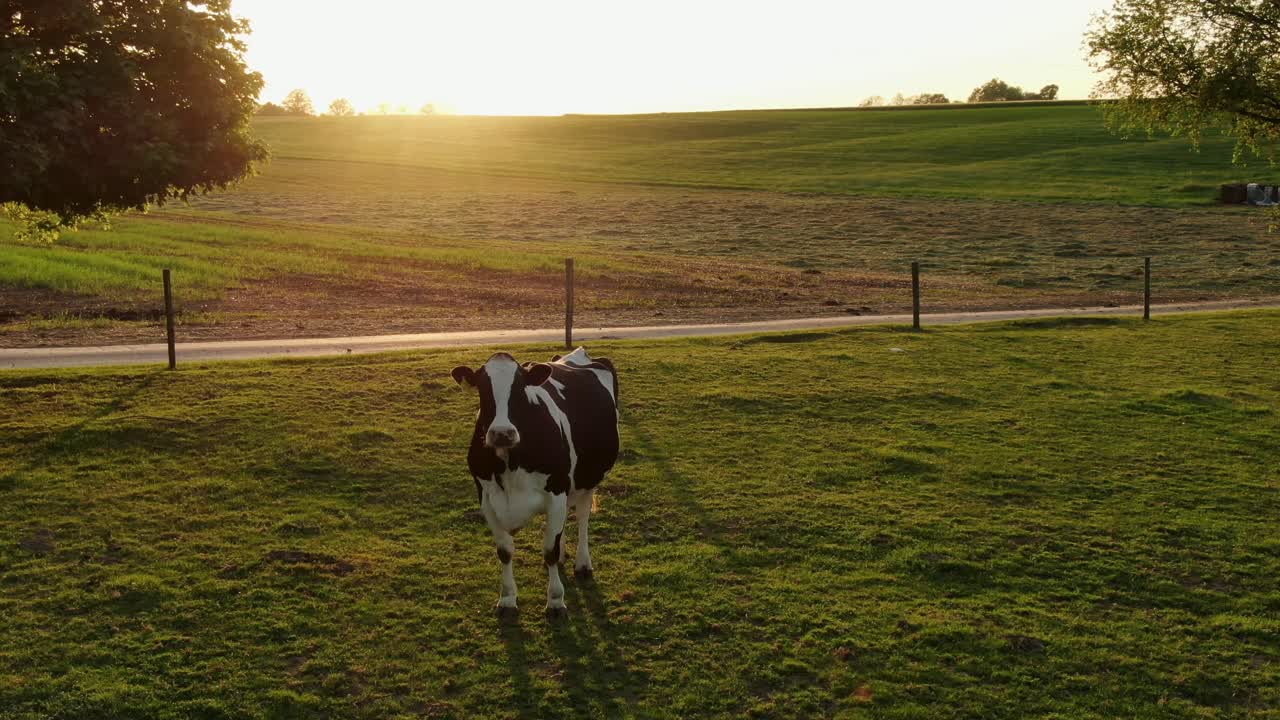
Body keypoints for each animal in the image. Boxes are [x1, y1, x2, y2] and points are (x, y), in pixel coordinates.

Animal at [450, 347, 620, 619]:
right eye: (483, 389)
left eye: (520, 388)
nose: (502, 433)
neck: (509, 462)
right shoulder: (486, 499)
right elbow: (505, 551)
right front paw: (507, 599)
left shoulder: (557, 492)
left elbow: (549, 549)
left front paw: (556, 601)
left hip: (588, 478)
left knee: (582, 516)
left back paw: (583, 563)